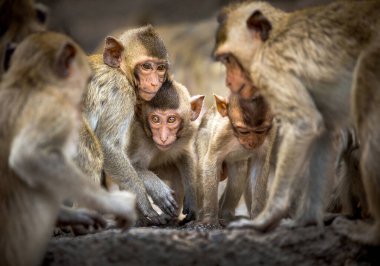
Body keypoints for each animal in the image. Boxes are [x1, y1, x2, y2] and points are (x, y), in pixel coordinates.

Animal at [84, 24, 174, 224]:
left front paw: (152, 184)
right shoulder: (121, 93)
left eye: (160, 68)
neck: (120, 71)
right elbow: (108, 145)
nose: (155, 82)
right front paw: (146, 206)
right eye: (146, 66)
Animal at [127, 79, 205, 224]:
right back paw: (141, 220)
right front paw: (159, 192)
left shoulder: (188, 132)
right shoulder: (139, 137)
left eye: (171, 119)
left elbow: (185, 155)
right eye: (155, 119)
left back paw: (171, 219)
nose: (163, 138)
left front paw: (192, 197)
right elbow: (132, 166)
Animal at [196, 92, 276, 225]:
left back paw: (226, 214)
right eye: (244, 131)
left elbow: (259, 166)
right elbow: (211, 162)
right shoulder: (222, 133)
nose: (252, 142)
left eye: (260, 131)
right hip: (202, 137)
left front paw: (258, 216)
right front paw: (210, 218)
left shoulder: (270, 134)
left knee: (239, 170)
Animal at [214, 0, 380, 245]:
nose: (227, 80)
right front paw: (307, 220)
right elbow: (324, 133)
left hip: (371, 64)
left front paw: (266, 218)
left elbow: (305, 124)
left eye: (228, 59)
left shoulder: (269, 70)